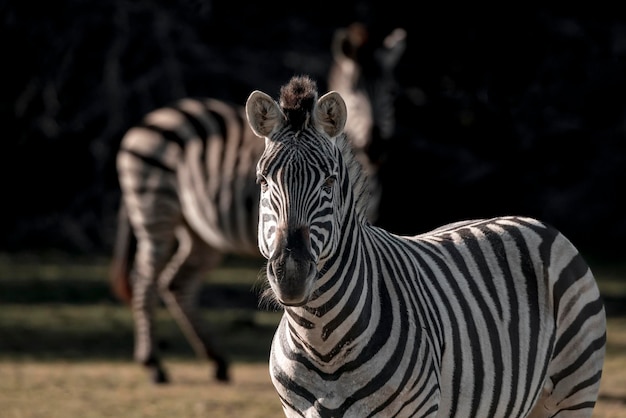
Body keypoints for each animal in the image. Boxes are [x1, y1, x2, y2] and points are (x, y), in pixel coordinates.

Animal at [110, 23, 408, 386]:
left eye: (391, 93)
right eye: (354, 89)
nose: (377, 146)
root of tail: (148, 119)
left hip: (200, 233)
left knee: (177, 283)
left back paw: (217, 361)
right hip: (156, 212)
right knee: (145, 280)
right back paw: (153, 364)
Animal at [241, 76, 604, 418]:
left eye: (329, 182)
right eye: (263, 181)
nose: (291, 274)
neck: (321, 340)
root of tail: (534, 221)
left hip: (573, 391)